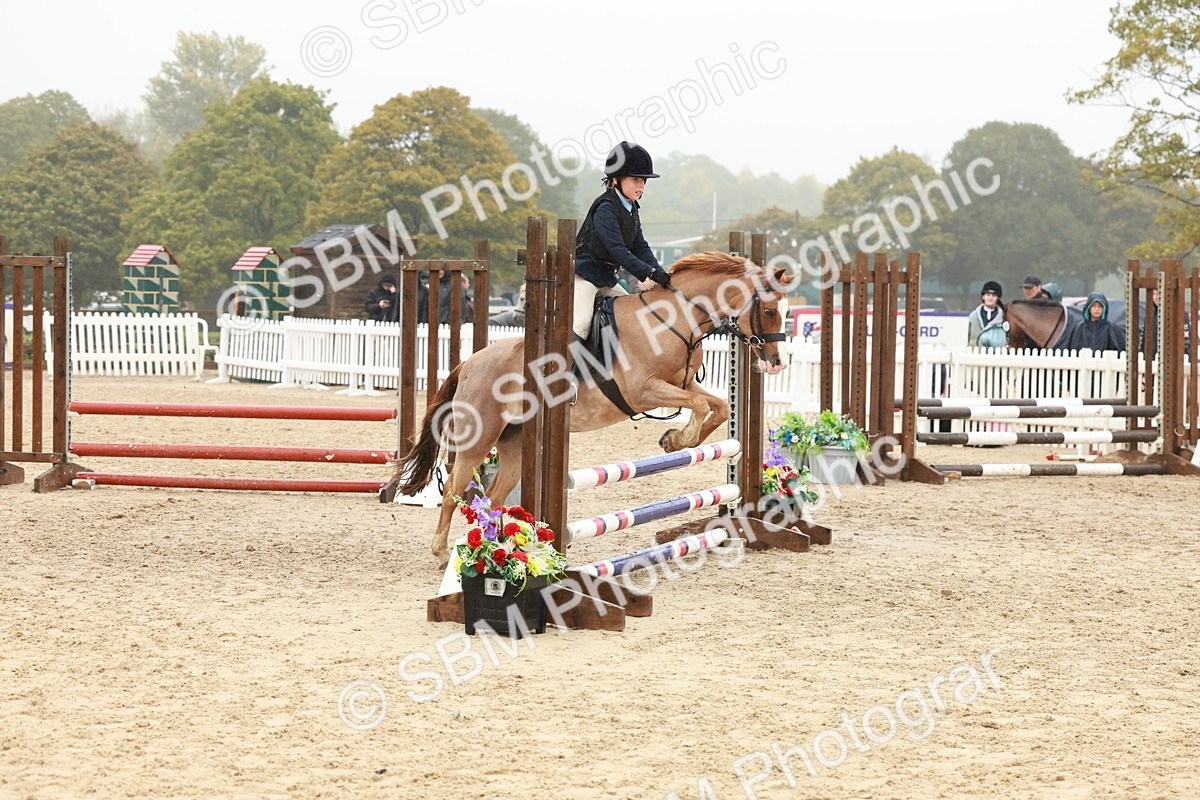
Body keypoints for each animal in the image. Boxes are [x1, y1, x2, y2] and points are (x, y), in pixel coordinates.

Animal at [394, 251, 799, 565]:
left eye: (786, 310)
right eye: (768, 310)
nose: (777, 363)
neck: (674, 318)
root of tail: (470, 362)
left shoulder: (682, 385)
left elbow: (715, 407)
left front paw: (674, 440)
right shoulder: (644, 391)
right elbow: (700, 405)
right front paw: (675, 438)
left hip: (514, 443)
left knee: (493, 498)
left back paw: (497, 546)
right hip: (481, 437)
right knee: (453, 489)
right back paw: (444, 551)